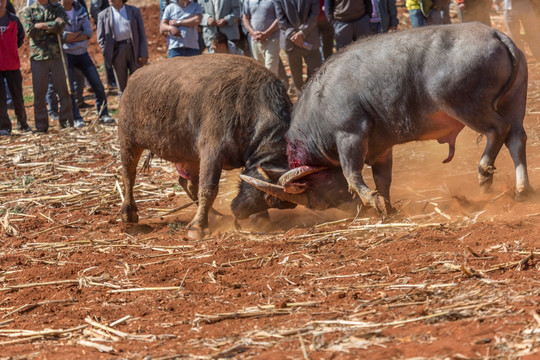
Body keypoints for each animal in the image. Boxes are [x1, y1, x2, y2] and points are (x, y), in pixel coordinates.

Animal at [119, 55, 296, 239]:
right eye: (269, 199)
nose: (238, 212)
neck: (247, 106)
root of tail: (132, 80)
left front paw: (261, 219)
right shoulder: (212, 152)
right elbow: (209, 189)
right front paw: (198, 227)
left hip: (190, 155)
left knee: (187, 183)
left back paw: (212, 214)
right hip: (128, 140)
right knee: (128, 174)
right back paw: (128, 212)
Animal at [243, 23, 532, 214]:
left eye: (314, 192)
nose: (335, 207)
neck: (320, 103)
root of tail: (497, 34)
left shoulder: (350, 135)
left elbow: (352, 174)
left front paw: (373, 201)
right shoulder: (381, 149)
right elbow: (383, 180)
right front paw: (388, 207)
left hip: (463, 105)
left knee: (498, 129)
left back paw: (484, 173)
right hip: (514, 101)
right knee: (517, 138)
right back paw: (522, 189)